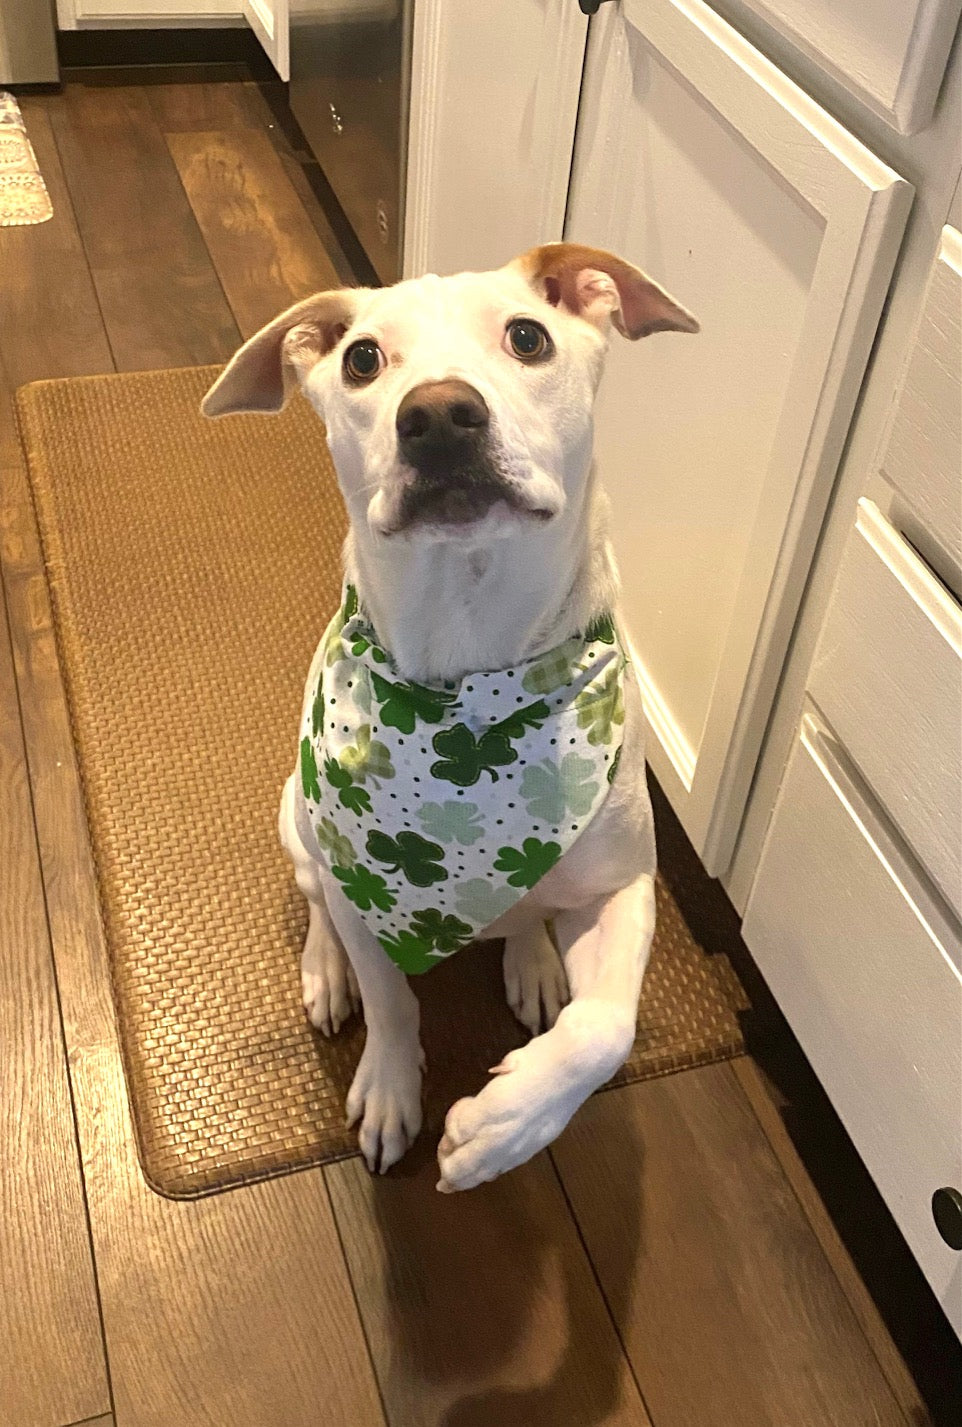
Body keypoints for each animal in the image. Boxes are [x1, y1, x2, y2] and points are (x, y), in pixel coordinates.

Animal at [204, 245, 696, 1192]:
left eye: (528, 337)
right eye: (362, 359)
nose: (436, 415)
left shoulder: (624, 884)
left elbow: (607, 1029)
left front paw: (507, 1123)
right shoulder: (364, 885)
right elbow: (393, 999)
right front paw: (392, 1089)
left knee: (535, 924)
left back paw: (531, 957)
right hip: (295, 813)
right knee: (314, 898)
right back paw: (326, 971)